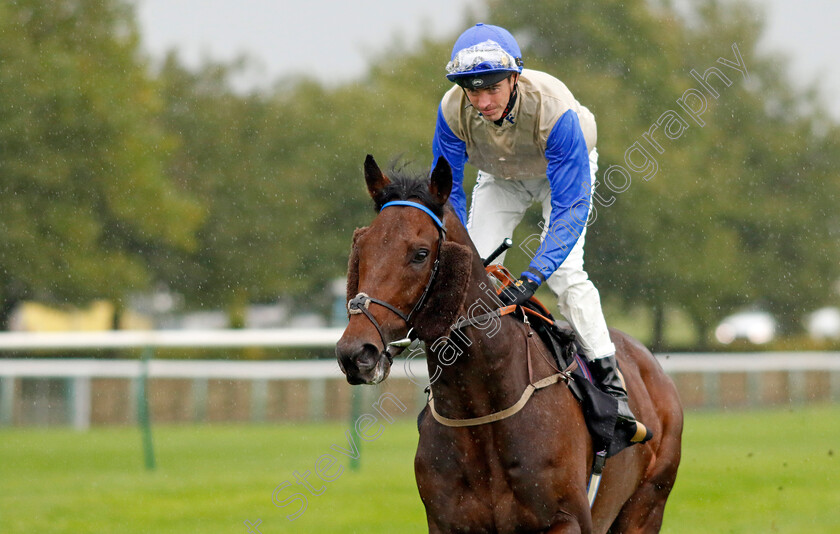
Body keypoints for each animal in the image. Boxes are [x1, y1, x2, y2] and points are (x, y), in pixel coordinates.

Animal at [334, 156, 684, 534]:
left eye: (420, 253)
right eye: (361, 248)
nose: (355, 352)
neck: (481, 410)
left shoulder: (567, 520)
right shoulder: (445, 522)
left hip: (646, 505)